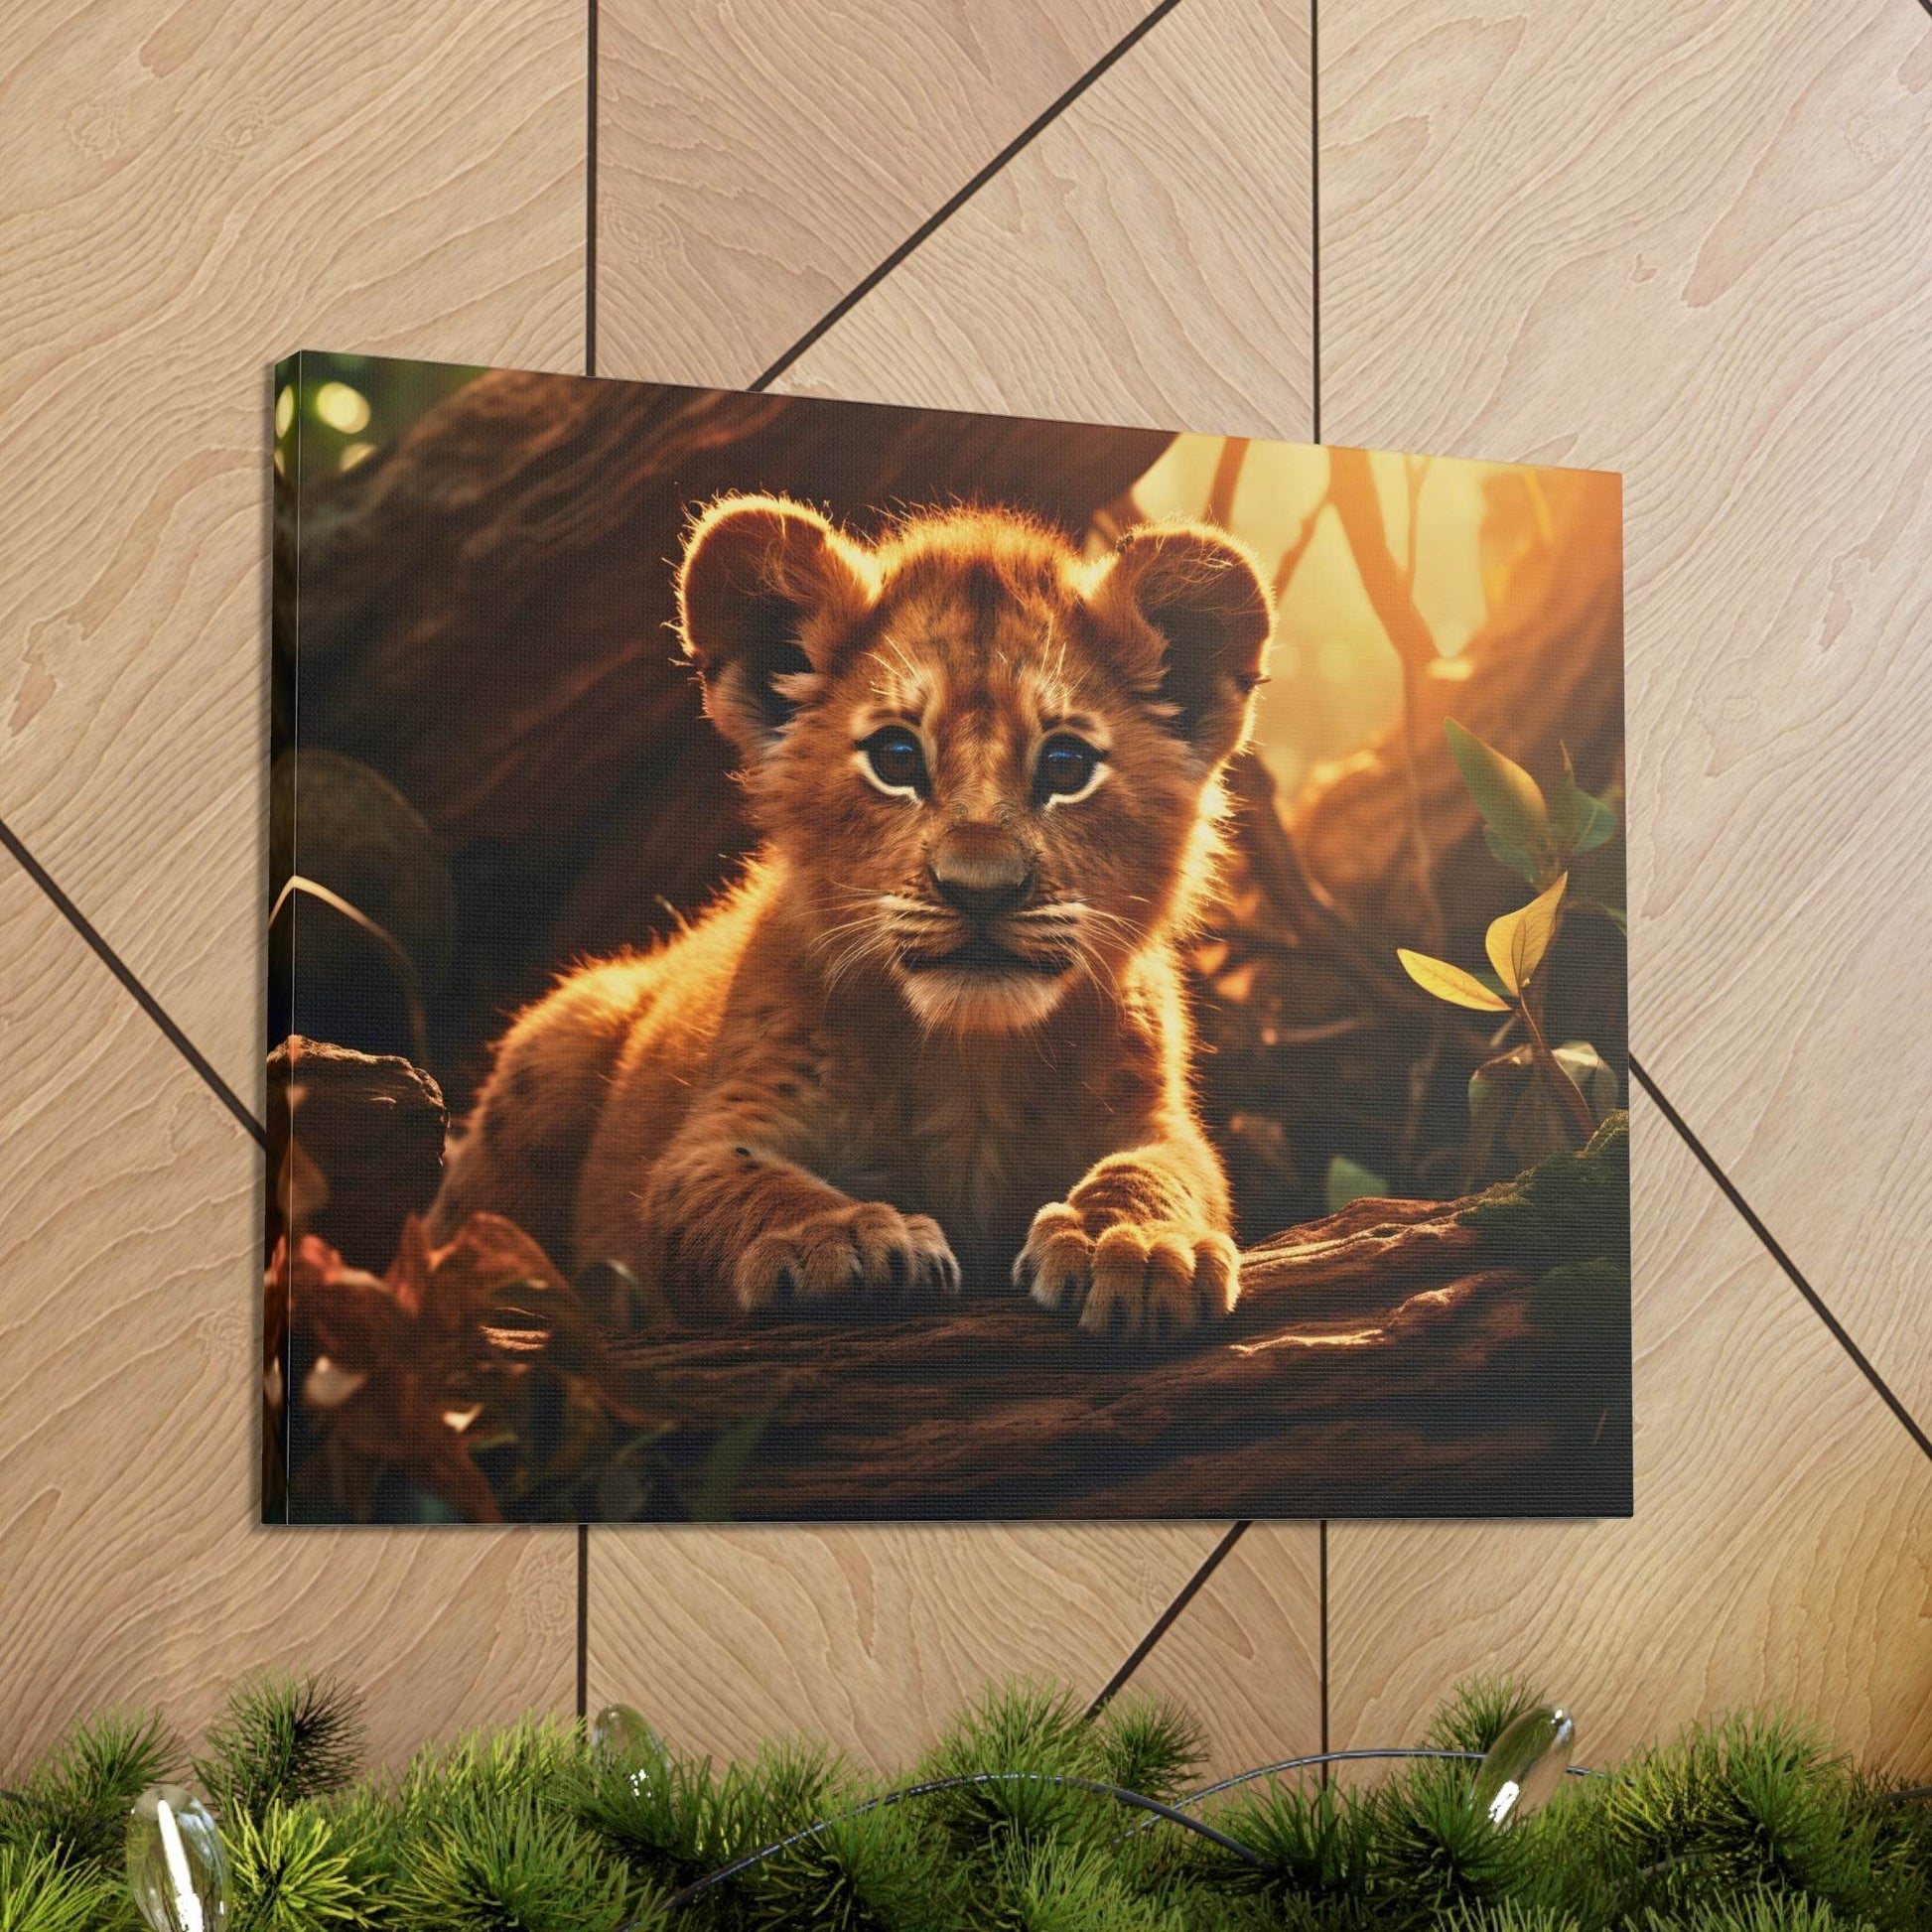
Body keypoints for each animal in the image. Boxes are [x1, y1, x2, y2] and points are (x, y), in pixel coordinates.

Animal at [428, 493, 1274, 1339]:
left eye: (1065, 766)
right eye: (896, 758)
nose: (981, 888)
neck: (970, 1064)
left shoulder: (1156, 1120)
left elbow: (1160, 1171)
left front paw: (1135, 1242)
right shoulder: (713, 1135)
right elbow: (746, 1187)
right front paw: (844, 1237)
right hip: (559, 1039)